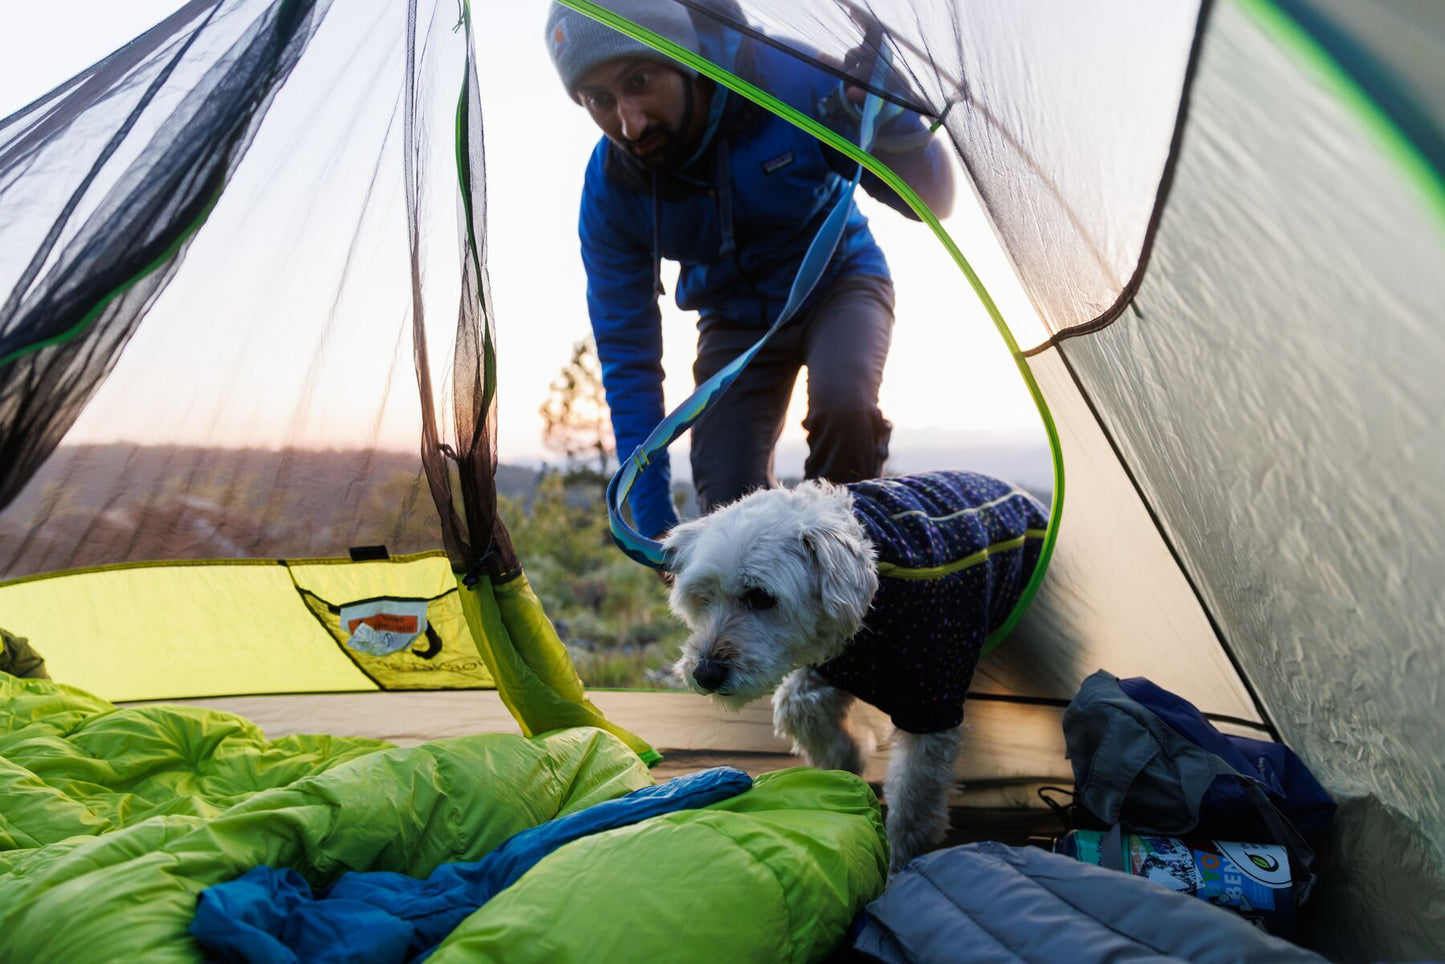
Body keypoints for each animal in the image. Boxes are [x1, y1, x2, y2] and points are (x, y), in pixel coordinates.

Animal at [661, 471, 1046, 872]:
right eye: (703, 597)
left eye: (761, 597)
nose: (705, 673)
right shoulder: (835, 668)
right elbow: (803, 711)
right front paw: (845, 768)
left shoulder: (931, 704)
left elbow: (913, 805)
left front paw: (898, 865)